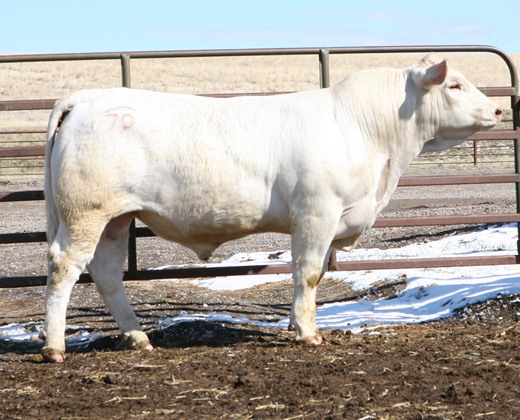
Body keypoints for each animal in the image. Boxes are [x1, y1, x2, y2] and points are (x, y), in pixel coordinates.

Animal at [42, 53, 502, 360]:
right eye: (454, 85)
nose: (498, 108)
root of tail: (84, 99)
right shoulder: (317, 213)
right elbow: (309, 273)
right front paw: (307, 331)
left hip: (116, 219)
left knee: (106, 273)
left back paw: (138, 337)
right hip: (87, 212)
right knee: (65, 267)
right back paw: (54, 346)